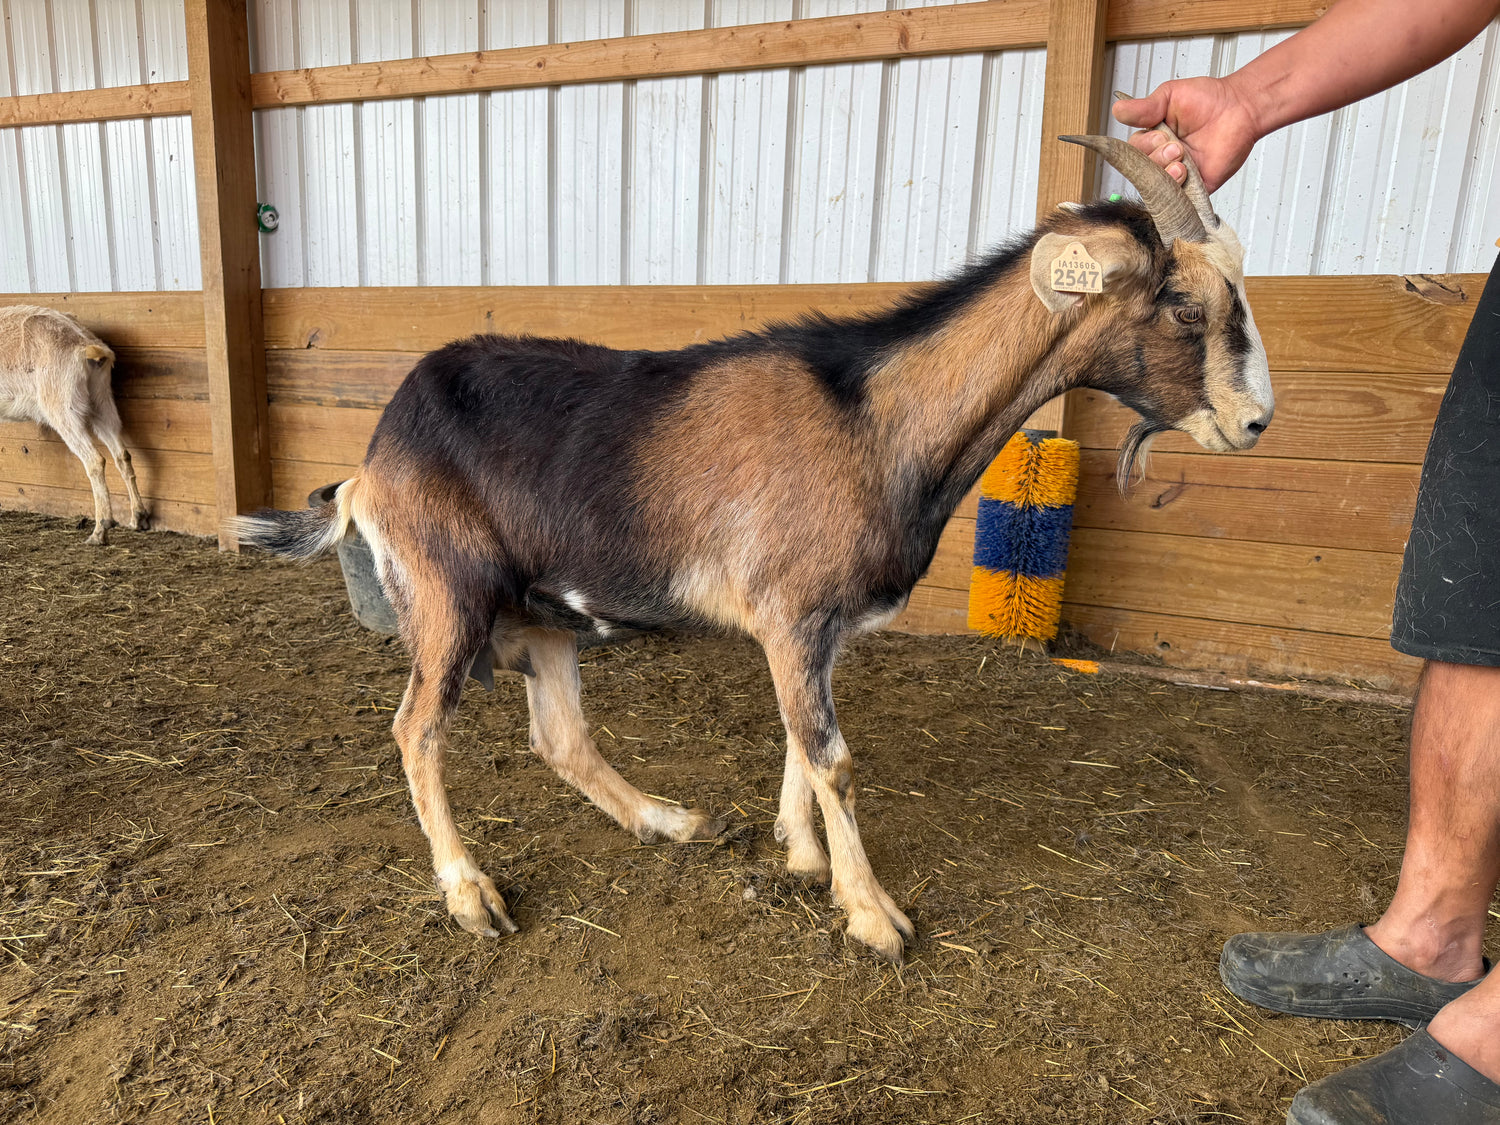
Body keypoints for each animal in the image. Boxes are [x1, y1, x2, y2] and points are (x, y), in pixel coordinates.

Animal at [0, 306, 150, 544]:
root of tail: (86, 345)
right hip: (101, 401)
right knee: (122, 455)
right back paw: (139, 518)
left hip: (62, 407)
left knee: (95, 460)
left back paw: (100, 530)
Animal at [233, 135, 1273, 960]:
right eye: (1184, 304)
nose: (1256, 421)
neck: (877, 421)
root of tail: (373, 458)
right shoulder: (795, 611)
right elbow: (834, 756)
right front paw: (873, 913)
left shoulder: (810, 624)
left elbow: (796, 737)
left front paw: (801, 851)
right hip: (448, 594)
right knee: (417, 727)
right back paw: (470, 894)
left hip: (546, 611)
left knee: (559, 737)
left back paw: (669, 819)